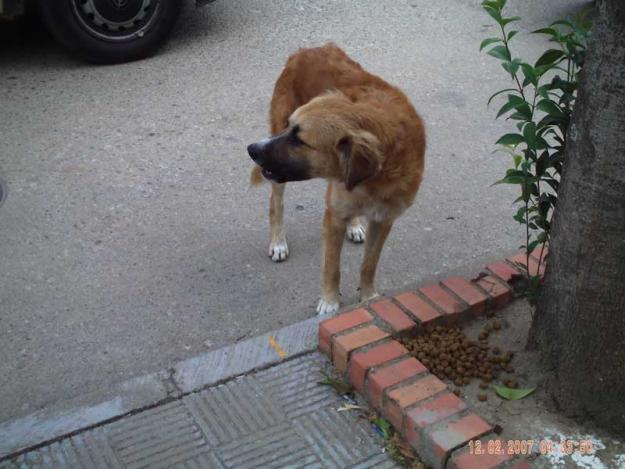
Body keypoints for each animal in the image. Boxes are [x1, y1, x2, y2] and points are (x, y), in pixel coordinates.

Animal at [247, 44, 424, 314]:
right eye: (290, 129)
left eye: (299, 140)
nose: (251, 149)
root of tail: (307, 49)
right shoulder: (334, 219)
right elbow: (332, 267)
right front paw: (330, 302)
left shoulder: (384, 219)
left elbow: (369, 264)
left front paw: (369, 298)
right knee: (275, 203)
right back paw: (278, 242)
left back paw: (355, 225)